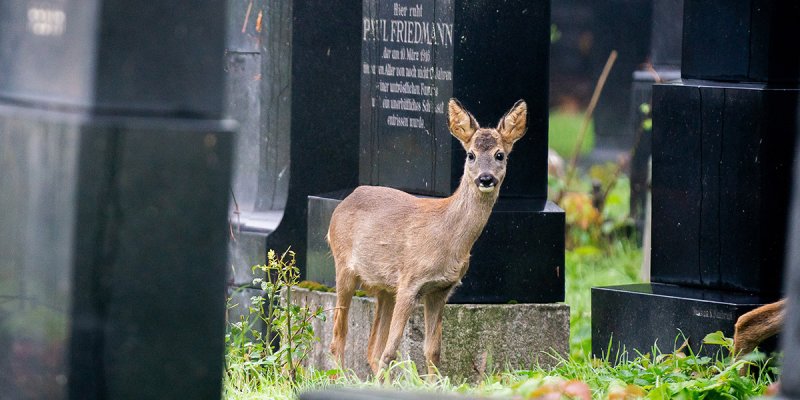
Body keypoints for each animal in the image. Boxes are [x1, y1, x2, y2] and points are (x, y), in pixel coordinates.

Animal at [326, 98, 528, 375]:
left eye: (500, 155)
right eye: (471, 154)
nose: (485, 178)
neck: (447, 236)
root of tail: (343, 204)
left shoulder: (441, 289)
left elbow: (432, 351)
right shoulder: (410, 281)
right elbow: (392, 351)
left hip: (385, 287)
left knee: (372, 349)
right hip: (344, 266)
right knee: (339, 336)